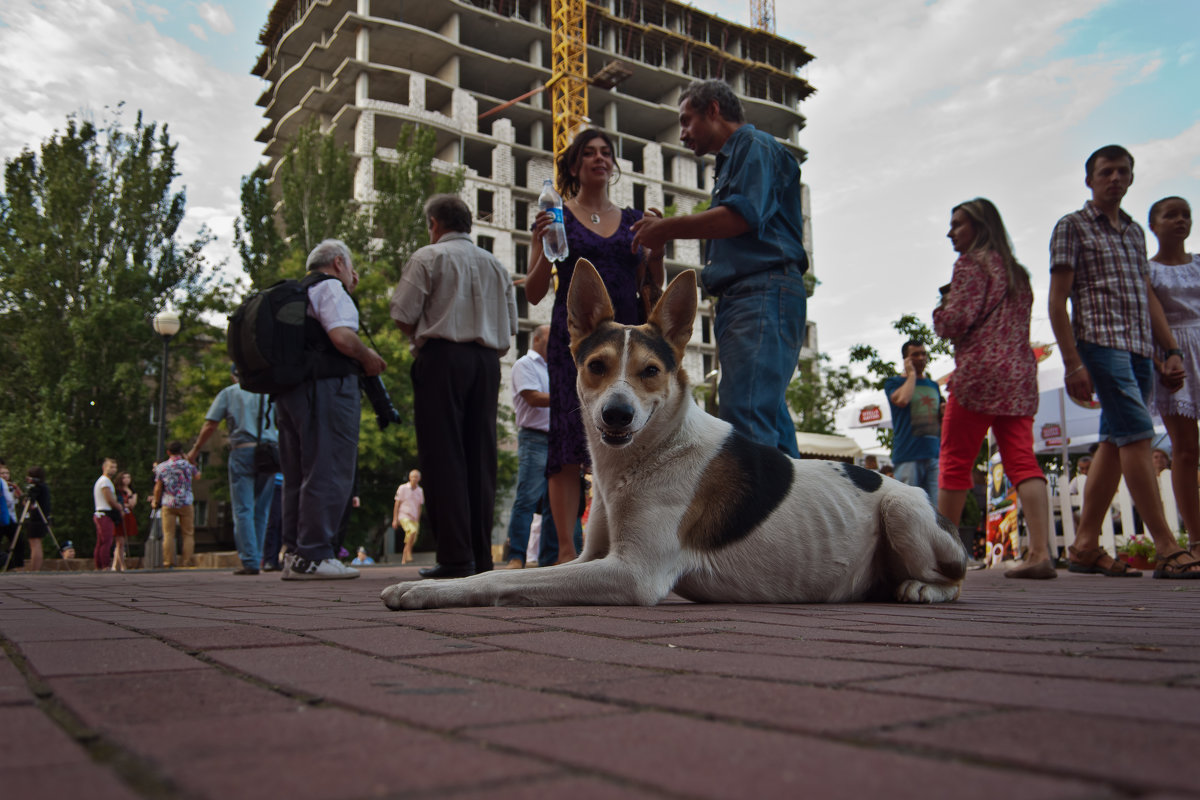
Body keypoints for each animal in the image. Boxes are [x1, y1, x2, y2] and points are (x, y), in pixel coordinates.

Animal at [384, 260, 964, 609]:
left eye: (650, 372)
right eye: (596, 366)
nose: (617, 415)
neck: (649, 455)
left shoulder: (632, 572)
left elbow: (505, 578)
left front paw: (425, 592)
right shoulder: (594, 557)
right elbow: (517, 573)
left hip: (904, 511)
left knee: (953, 581)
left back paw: (920, 587)